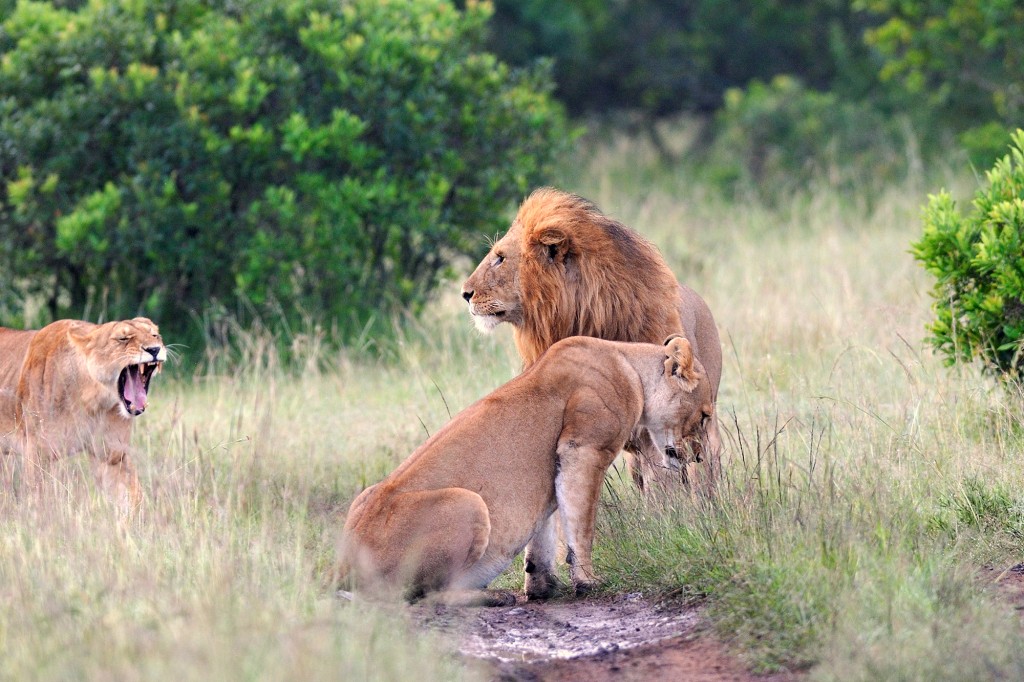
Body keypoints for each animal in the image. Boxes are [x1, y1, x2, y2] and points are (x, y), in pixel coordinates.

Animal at [0, 315, 165, 507]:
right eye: (123, 339)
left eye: (154, 335)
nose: (154, 349)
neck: (91, 401)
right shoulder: (37, 451)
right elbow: (39, 497)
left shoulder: (111, 454)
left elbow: (132, 497)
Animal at [335, 331, 712, 602]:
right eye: (705, 415)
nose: (697, 458)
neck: (630, 366)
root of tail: (344, 568)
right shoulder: (584, 449)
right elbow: (582, 525)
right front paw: (587, 581)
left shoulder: (555, 471)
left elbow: (545, 530)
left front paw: (544, 587)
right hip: (468, 502)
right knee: (428, 595)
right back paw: (494, 596)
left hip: (366, 497)